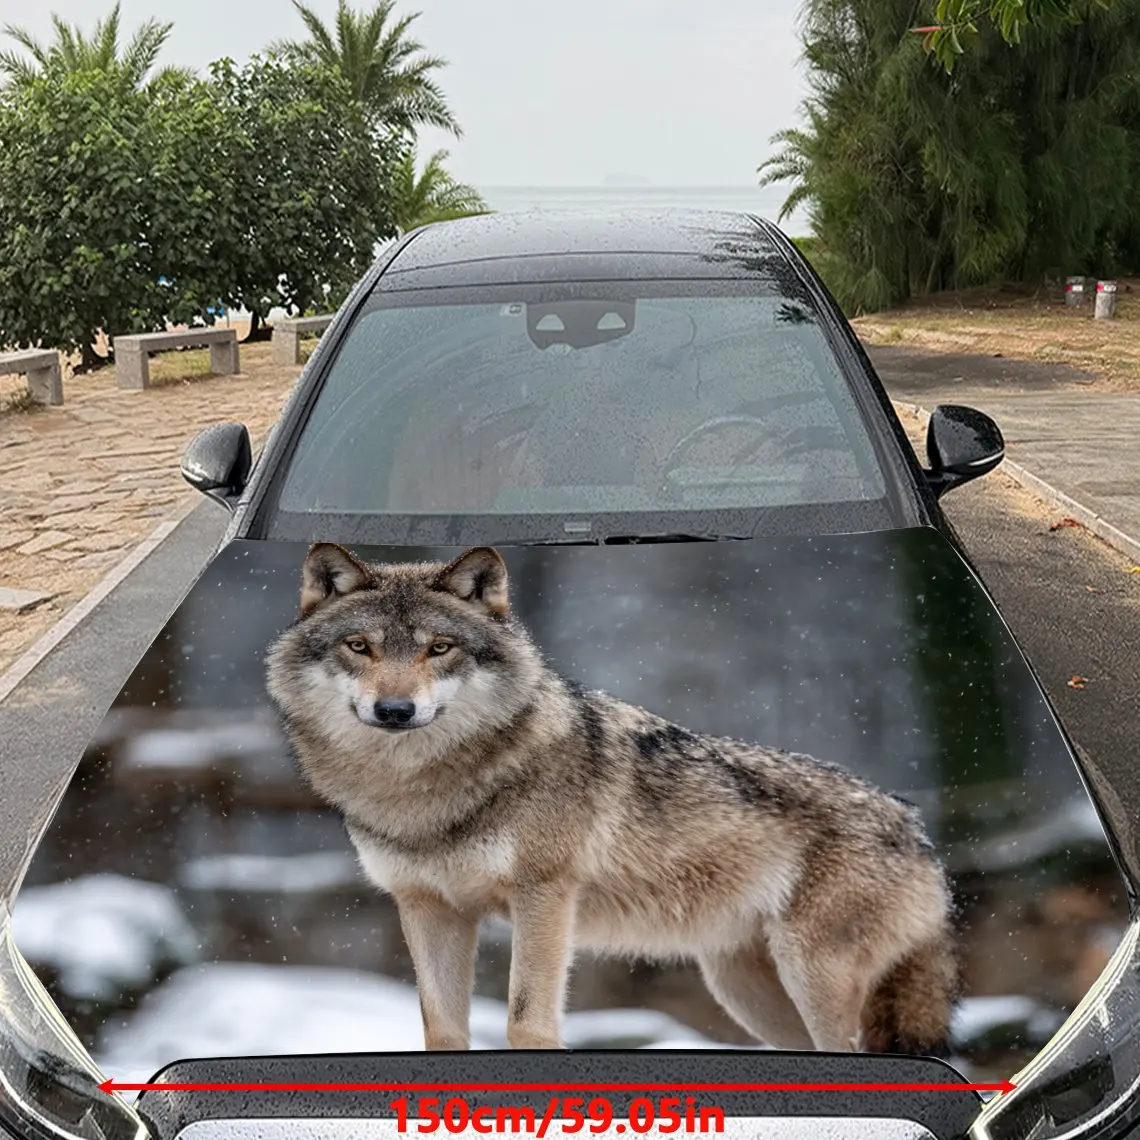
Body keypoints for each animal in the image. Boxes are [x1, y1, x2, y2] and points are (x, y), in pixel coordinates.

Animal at [266, 543, 958, 1056]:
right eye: (361, 646)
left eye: (440, 648)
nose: (395, 710)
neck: (420, 794)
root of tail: (917, 827)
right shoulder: (427, 907)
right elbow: (441, 1031)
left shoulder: (544, 897)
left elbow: (526, 1023)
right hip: (746, 992)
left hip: (809, 978)